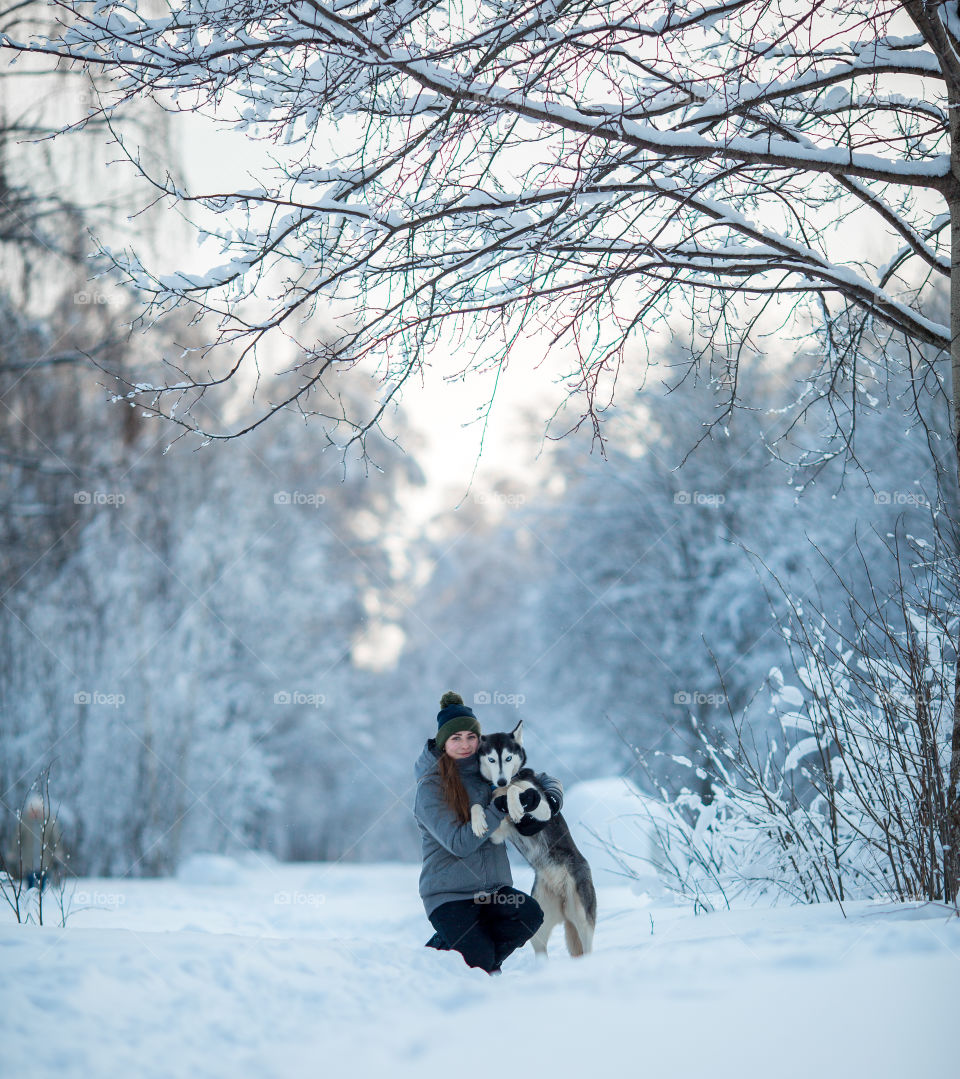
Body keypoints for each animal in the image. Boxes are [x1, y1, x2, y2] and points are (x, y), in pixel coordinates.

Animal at [470, 720, 595, 958]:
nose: (502, 779)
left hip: (582, 916)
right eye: (491, 759)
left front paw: (515, 803)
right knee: (541, 948)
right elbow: (478, 805)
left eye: (508, 758)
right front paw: (478, 821)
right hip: (538, 923)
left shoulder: (542, 807)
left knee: (587, 945)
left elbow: (519, 791)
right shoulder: (498, 833)